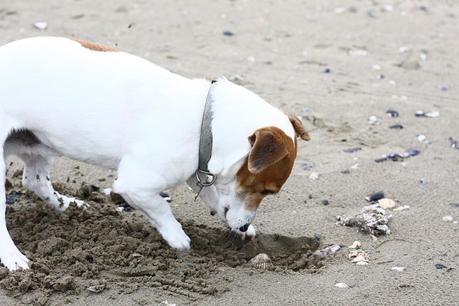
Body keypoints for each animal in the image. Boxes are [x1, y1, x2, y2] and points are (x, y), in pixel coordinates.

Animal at [0, 36, 310, 270]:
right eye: (267, 191)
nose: (245, 227)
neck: (204, 123)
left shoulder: (200, 173)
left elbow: (214, 198)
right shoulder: (135, 185)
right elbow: (161, 208)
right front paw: (177, 236)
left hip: (40, 146)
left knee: (35, 181)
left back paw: (69, 205)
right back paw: (14, 259)